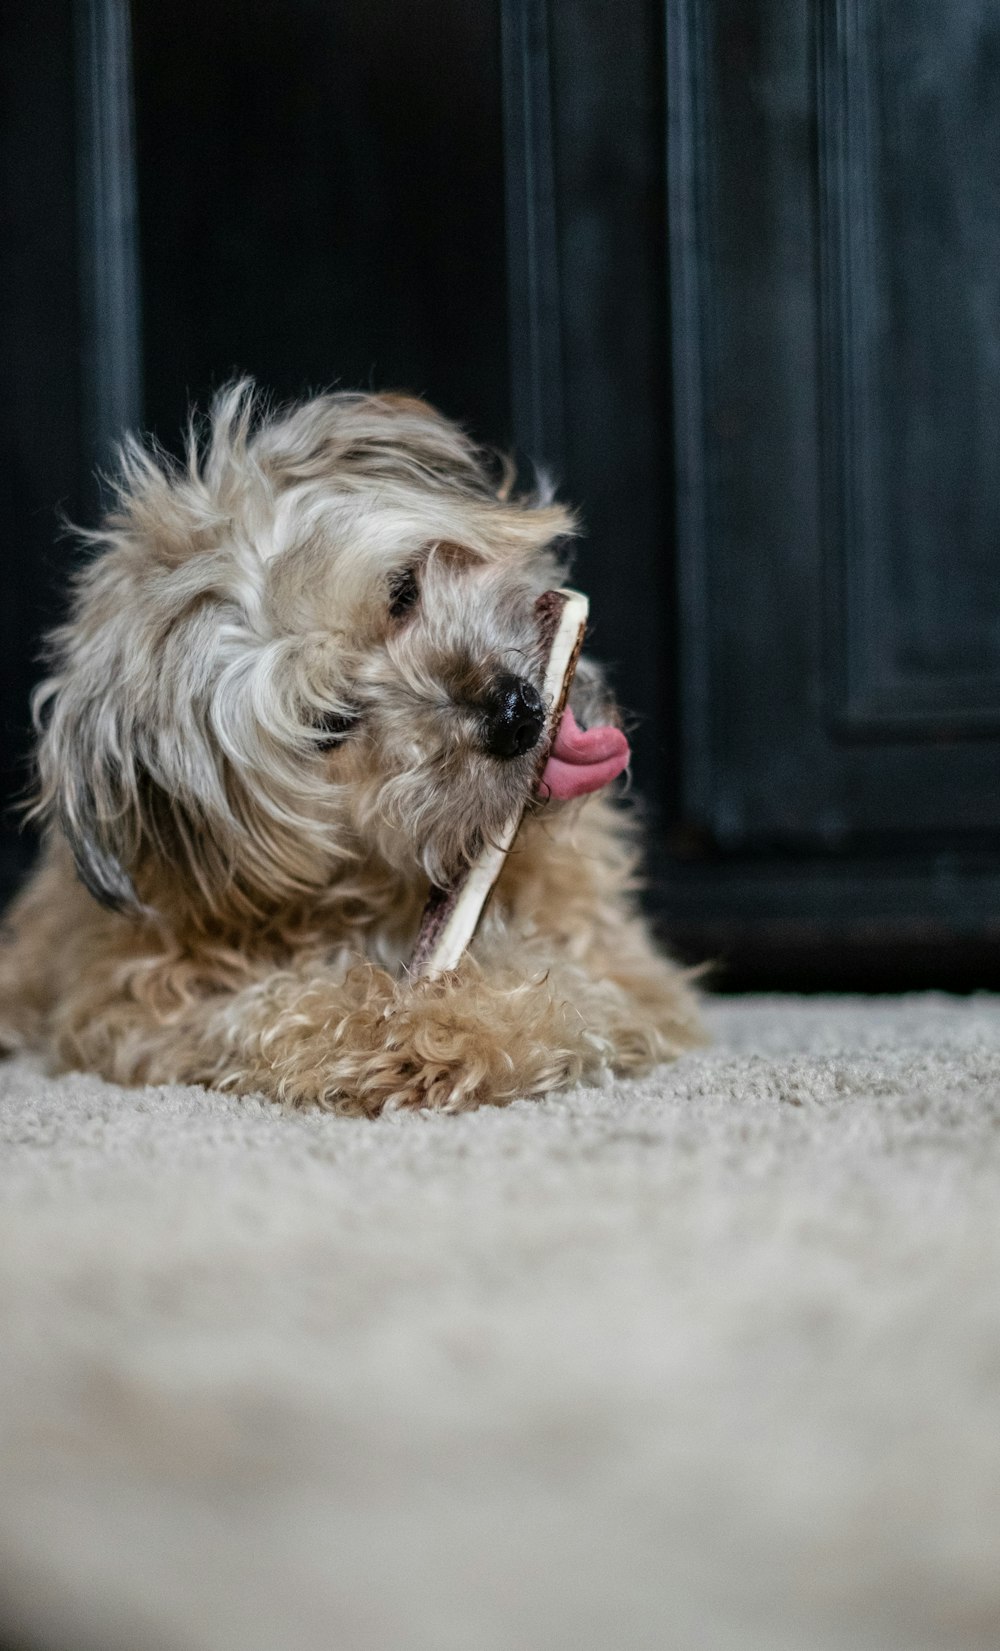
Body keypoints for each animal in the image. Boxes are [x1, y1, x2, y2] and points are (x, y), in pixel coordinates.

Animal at [0, 384, 706, 1109]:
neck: (374, 888)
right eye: (330, 723)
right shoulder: (133, 1004)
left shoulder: (628, 968)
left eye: (402, 592)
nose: (514, 714)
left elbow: (568, 980)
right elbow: (274, 1011)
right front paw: (418, 1028)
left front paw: (458, 1020)